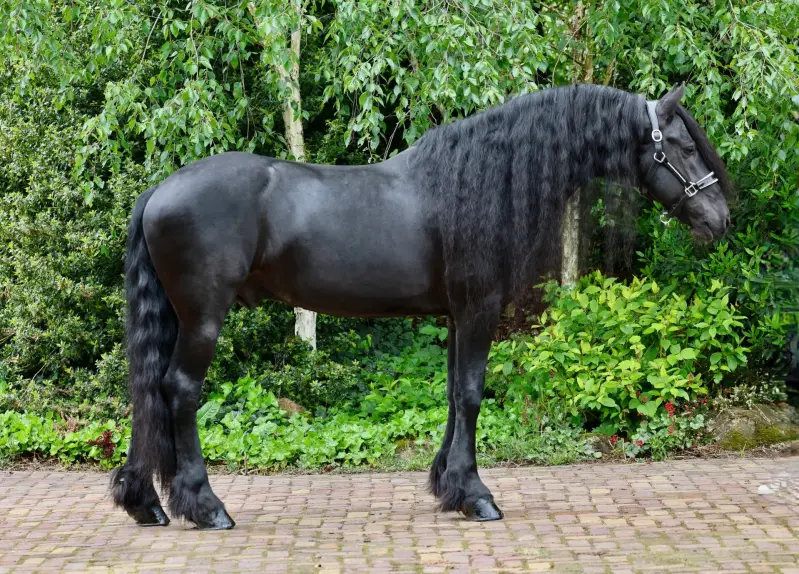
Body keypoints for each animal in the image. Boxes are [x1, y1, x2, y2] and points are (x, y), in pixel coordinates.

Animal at [110, 82, 732, 529]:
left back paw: (147, 503)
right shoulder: (480, 309)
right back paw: (206, 506)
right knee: (179, 392)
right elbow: (474, 394)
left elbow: (455, 395)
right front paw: (477, 495)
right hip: (203, 318)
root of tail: (161, 190)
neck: (482, 182)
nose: (721, 221)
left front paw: (449, 488)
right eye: (680, 145)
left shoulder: (457, 315)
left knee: (149, 391)